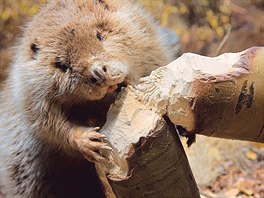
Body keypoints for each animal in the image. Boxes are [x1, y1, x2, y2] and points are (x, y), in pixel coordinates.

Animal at [0, 0, 170, 197]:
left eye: (100, 35)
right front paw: (90, 141)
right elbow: (46, 122)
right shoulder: (28, 91)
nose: (98, 74)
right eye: (62, 64)